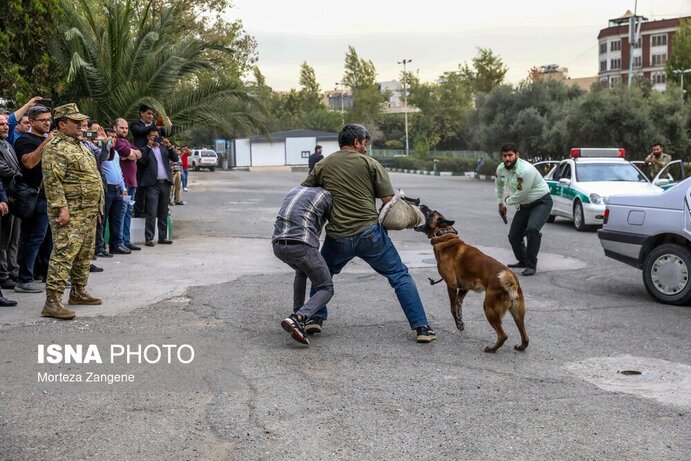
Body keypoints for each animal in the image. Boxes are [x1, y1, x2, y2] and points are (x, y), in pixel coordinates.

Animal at [416, 205, 528, 352]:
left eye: (430, 213)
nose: (421, 205)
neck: (444, 236)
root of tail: (511, 280)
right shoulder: (464, 289)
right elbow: (458, 306)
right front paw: (460, 322)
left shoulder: (451, 285)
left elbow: (452, 307)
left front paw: (458, 324)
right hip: (517, 314)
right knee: (525, 337)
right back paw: (520, 346)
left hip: (489, 308)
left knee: (503, 335)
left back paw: (492, 349)